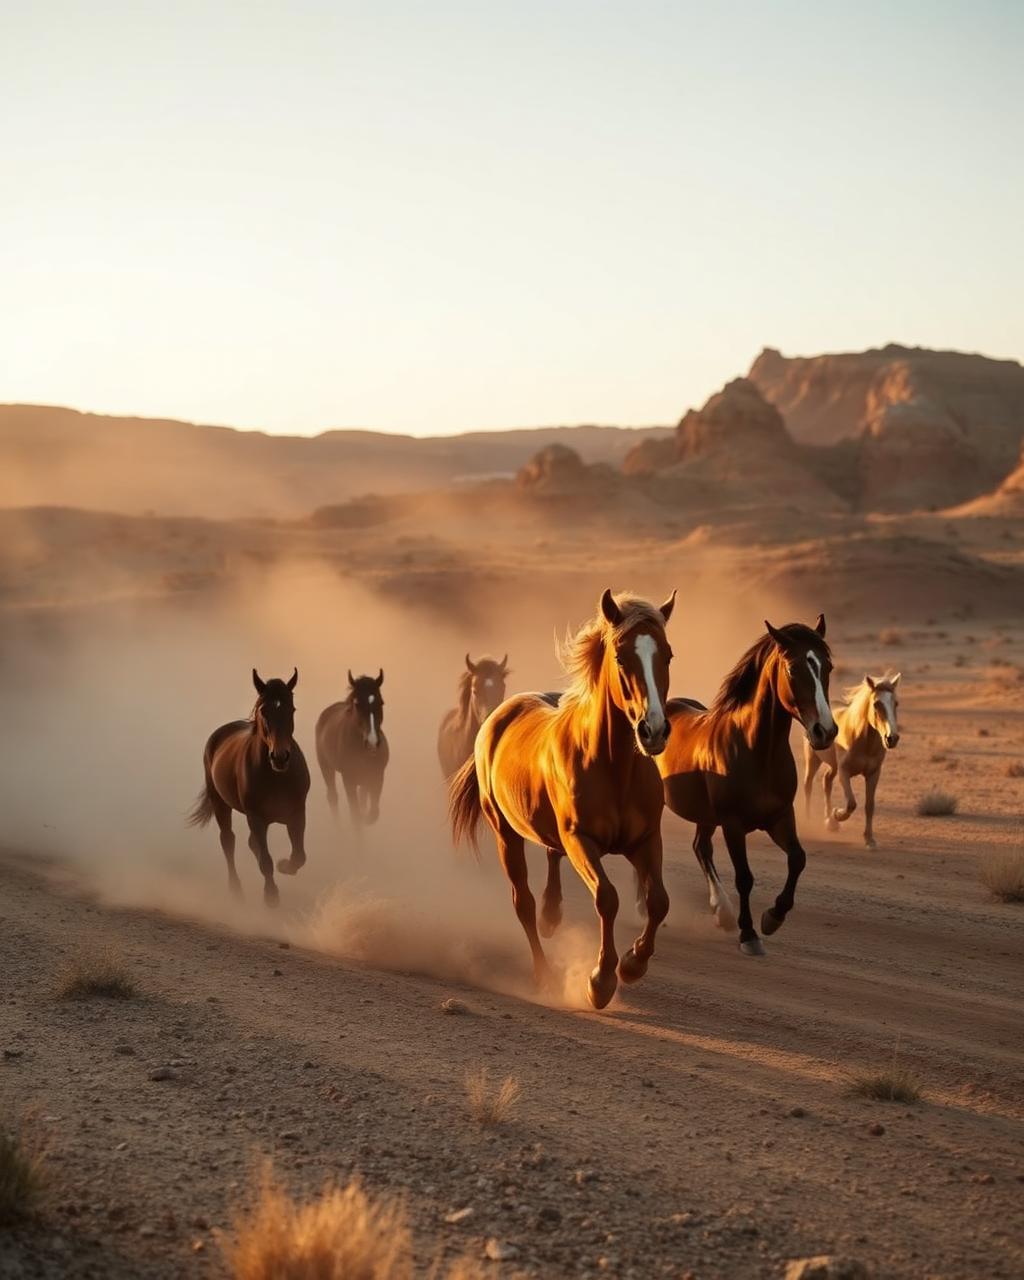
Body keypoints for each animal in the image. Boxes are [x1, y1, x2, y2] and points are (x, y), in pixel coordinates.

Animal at [187, 668, 310, 906]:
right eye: (264, 711)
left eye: (291, 709)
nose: (280, 757)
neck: (277, 777)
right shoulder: (256, 817)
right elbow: (265, 860)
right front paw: (271, 897)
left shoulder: (297, 813)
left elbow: (299, 856)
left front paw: (284, 866)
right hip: (220, 803)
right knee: (228, 840)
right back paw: (236, 890)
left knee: (251, 843)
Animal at [315, 670, 389, 833]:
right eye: (357, 704)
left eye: (381, 702)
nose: (372, 743)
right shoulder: (348, 780)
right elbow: (355, 815)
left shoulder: (377, 777)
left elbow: (373, 812)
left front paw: (366, 817)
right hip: (325, 766)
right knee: (332, 796)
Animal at [449, 589, 675, 1010]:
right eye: (622, 657)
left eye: (667, 655)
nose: (653, 730)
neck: (613, 766)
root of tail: (496, 717)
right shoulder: (580, 840)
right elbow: (607, 897)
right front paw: (601, 981)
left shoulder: (646, 840)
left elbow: (658, 902)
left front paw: (633, 964)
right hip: (505, 833)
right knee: (522, 901)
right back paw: (545, 973)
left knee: (550, 860)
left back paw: (552, 915)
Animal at [656, 617, 837, 956]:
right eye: (793, 668)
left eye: (827, 666)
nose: (826, 731)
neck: (756, 751)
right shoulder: (733, 824)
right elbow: (744, 877)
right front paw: (749, 934)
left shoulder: (780, 817)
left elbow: (798, 859)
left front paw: (773, 917)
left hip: (706, 817)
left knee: (701, 848)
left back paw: (722, 912)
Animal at [803, 672, 901, 848]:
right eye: (876, 704)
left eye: (895, 703)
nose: (892, 738)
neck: (862, 740)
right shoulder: (844, 772)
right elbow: (851, 803)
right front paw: (837, 815)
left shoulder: (873, 774)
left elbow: (869, 806)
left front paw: (869, 839)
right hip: (813, 759)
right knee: (808, 785)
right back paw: (811, 820)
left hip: (833, 766)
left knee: (826, 781)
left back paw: (830, 822)